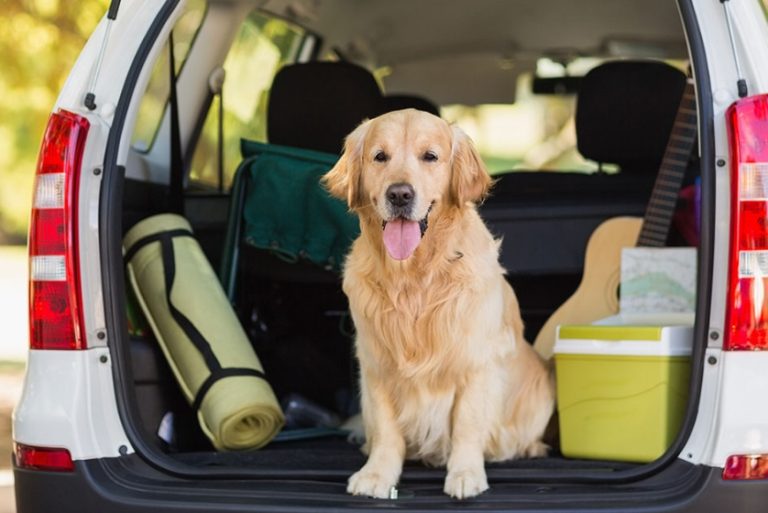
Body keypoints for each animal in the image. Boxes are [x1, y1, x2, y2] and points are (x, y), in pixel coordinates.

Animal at [320, 110, 556, 498]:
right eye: (379, 156)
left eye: (430, 156)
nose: (400, 194)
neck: (414, 278)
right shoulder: (375, 363)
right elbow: (385, 429)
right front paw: (377, 474)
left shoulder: (476, 363)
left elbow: (467, 425)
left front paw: (465, 474)